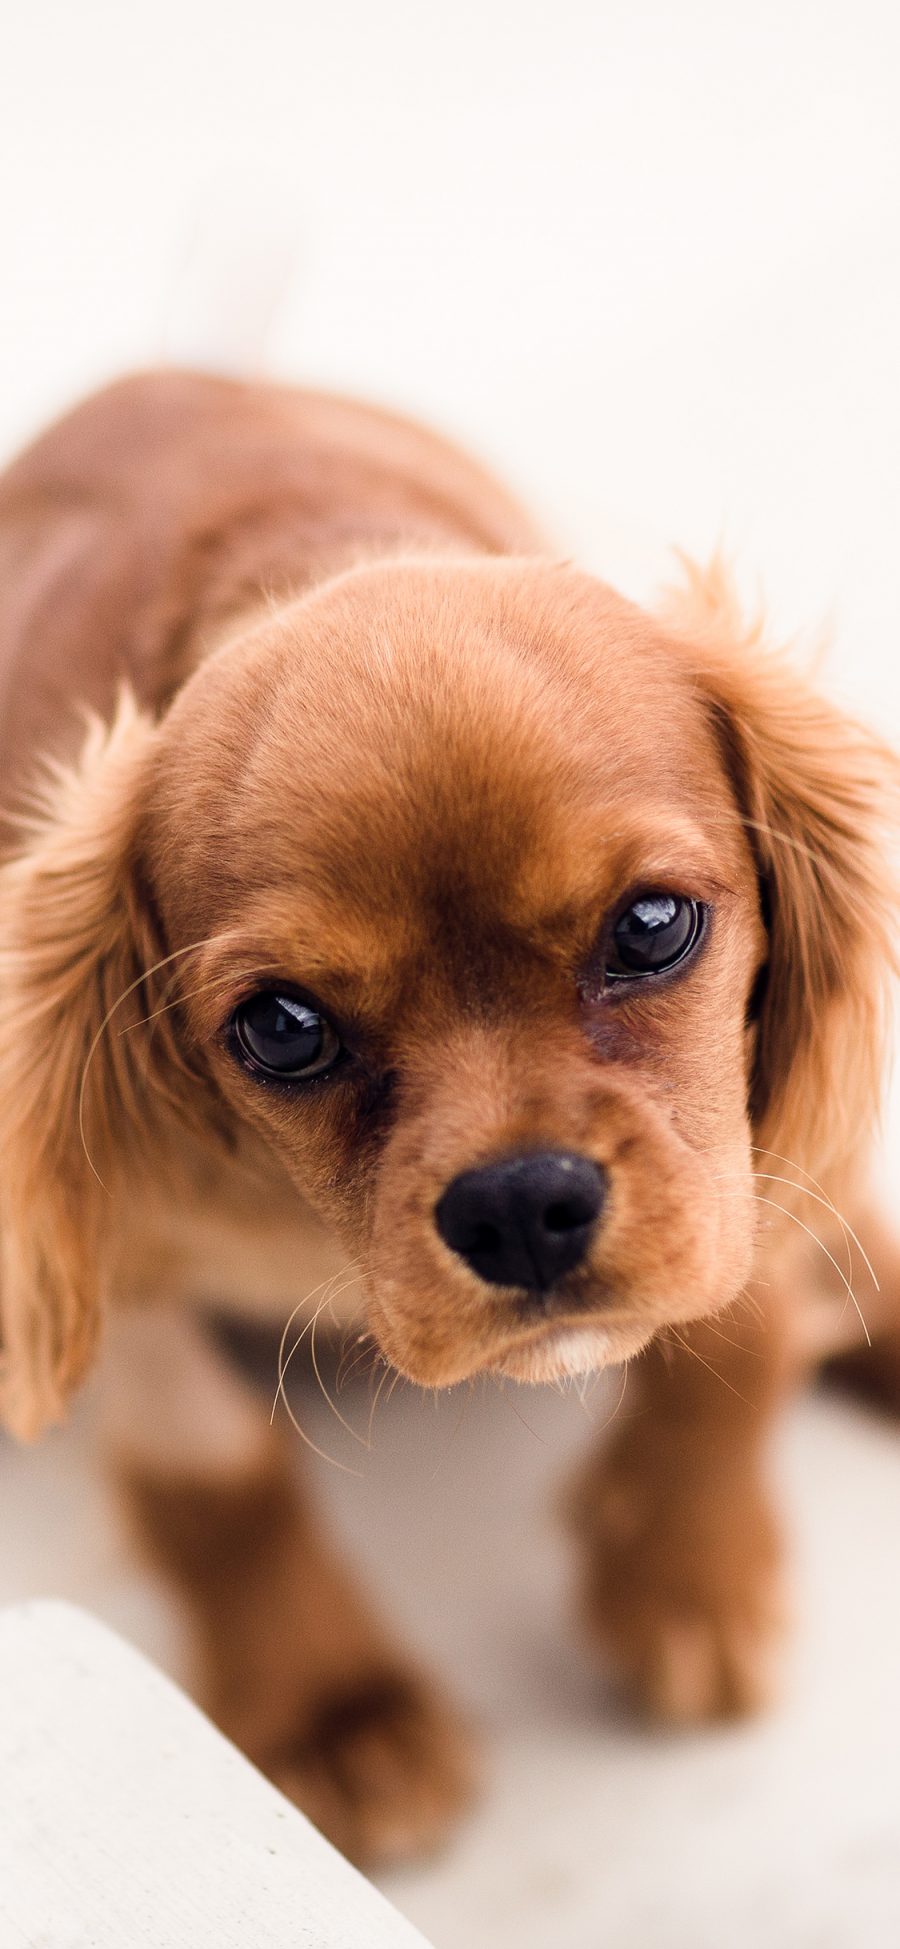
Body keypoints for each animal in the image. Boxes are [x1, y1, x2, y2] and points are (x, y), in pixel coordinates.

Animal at [1, 372, 900, 1863]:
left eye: (652, 924)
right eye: (281, 1028)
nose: (520, 1205)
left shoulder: (724, 1155)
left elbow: (740, 1320)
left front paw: (684, 1573)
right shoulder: (127, 1265)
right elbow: (215, 1473)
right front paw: (333, 1708)